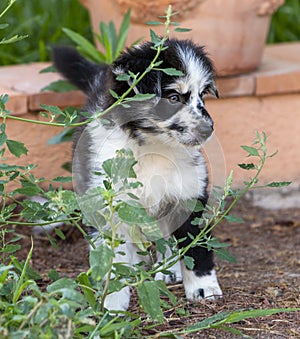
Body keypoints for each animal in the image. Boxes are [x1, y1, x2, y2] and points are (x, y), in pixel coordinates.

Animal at [52, 38, 223, 312]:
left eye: (202, 95)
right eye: (173, 97)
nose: (209, 129)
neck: (153, 147)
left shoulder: (188, 194)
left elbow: (196, 248)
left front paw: (204, 288)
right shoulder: (108, 205)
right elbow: (112, 257)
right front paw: (112, 303)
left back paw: (168, 270)